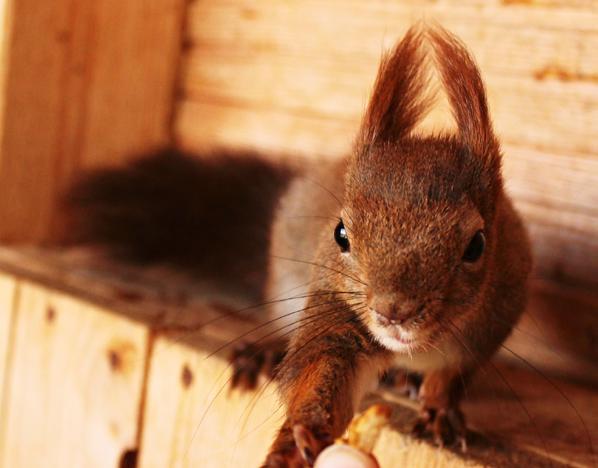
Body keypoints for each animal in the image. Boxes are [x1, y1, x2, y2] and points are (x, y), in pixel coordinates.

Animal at [65, 24, 536, 468]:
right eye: (341, 234)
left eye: (476, 245)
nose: (392, 311)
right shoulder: (337, 307)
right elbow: (322, 368)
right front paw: (299, 436)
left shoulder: (491, 321)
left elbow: (454, 374)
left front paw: (439, 407)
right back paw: (266, 350)